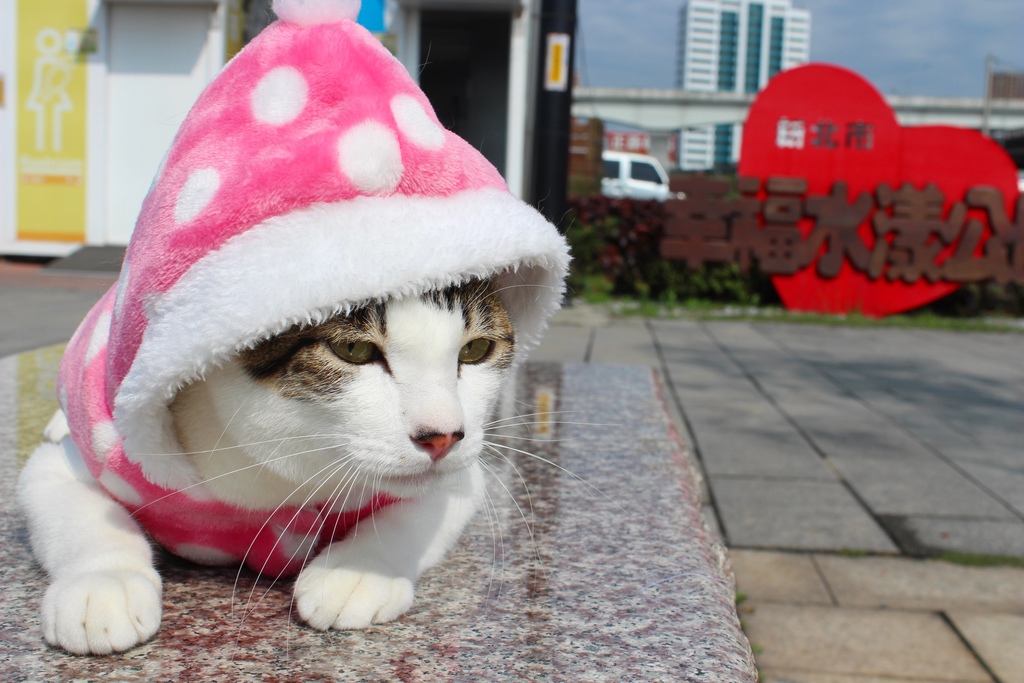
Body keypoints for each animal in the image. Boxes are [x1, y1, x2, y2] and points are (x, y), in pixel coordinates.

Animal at [18, 278, 520, 655]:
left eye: (476, 349)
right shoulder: (99, 457)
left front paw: (359, 571)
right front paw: (103, 583)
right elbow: (77, 507)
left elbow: (423, 509)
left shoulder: (463, 471)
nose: (442, 436)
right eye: (354, 351)